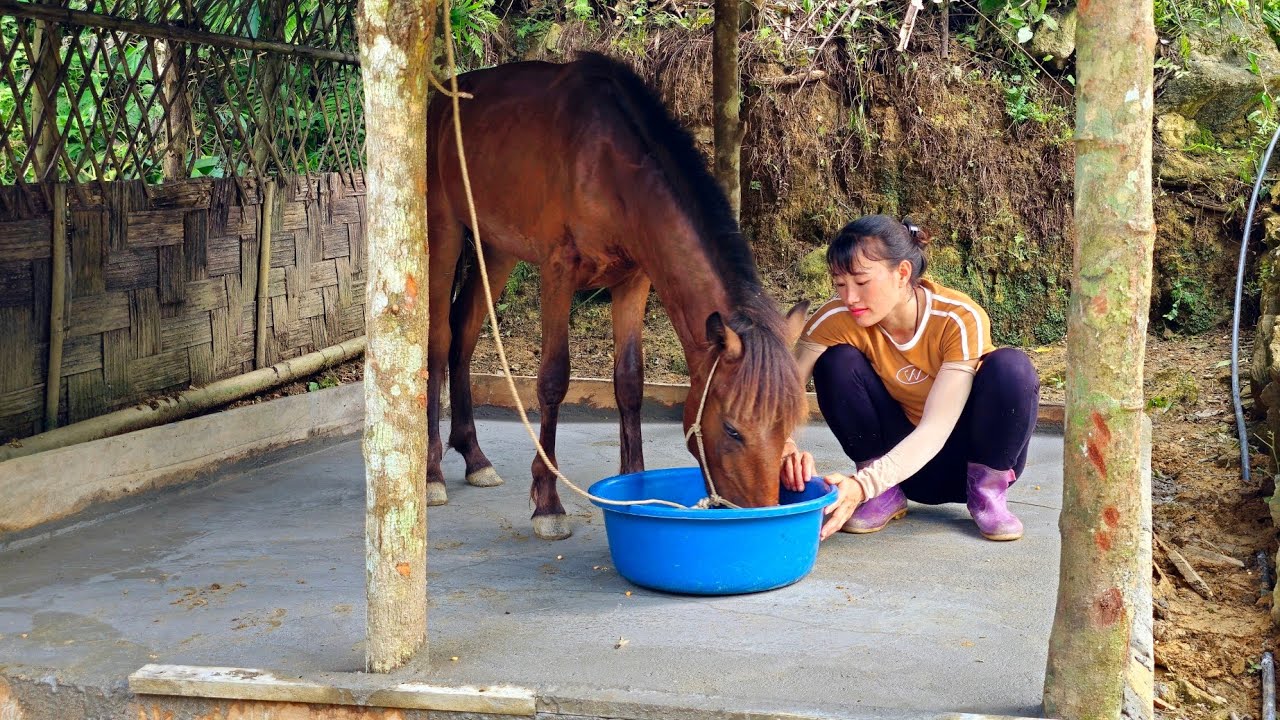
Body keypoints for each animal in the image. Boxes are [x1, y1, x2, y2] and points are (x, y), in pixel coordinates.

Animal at [425, 52, 810, 540]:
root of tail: (442, 100)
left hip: (496, 250)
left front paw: (635, 485)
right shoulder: (558, 273)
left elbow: (629, 381)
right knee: (439, 341)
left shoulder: (634, 280)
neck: (609, 165)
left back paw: (474, 457)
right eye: (732, 429)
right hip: (444, 232)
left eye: (787, 423)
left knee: (465, 331)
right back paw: (432, 473)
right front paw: (548, 504)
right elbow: (553, 381)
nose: (759, 512)